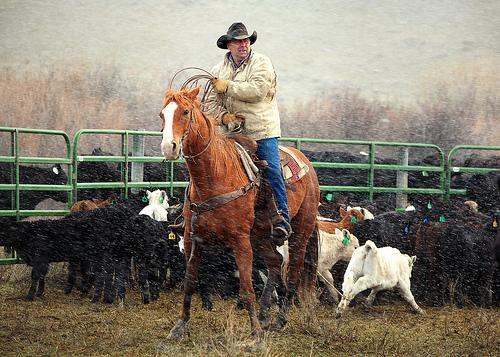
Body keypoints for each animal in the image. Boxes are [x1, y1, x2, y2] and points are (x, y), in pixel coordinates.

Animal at [158, 87, 318, 338]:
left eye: (185, 111)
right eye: (162, 115)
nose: (168, 147)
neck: (214, 175)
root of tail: (306, 164)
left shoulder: (240, 240)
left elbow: (246, 287)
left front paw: (255, 333)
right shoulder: (193, 238)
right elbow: (190, 281)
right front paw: (180, 325)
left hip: (301, 231)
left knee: (293, 273)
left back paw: (279, 320)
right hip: (260, 236)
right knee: (275, 263)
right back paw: (264, 313)